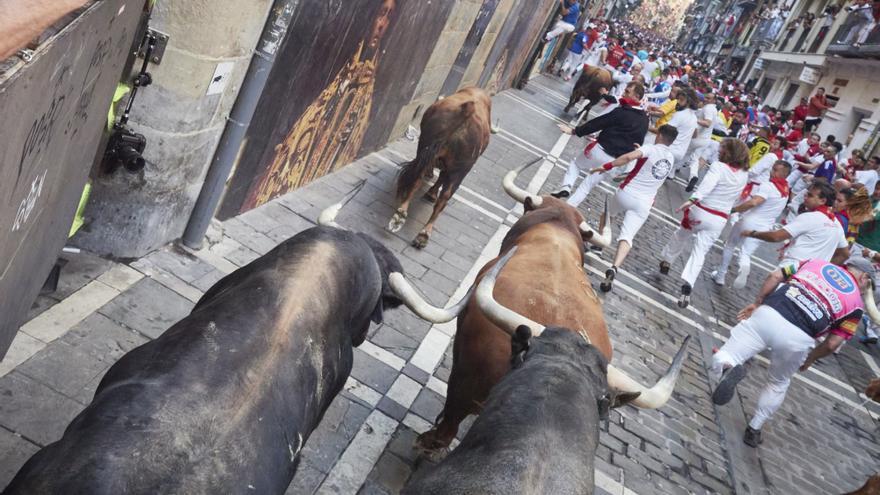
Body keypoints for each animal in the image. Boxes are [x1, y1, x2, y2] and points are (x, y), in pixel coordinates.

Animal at [388, 87, 492, 250]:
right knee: (442, 194)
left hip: (430, 148)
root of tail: (467, 110)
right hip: (459, 168)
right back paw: (422, 231)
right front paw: (431, 193)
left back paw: (404, 217)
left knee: (420, 180)